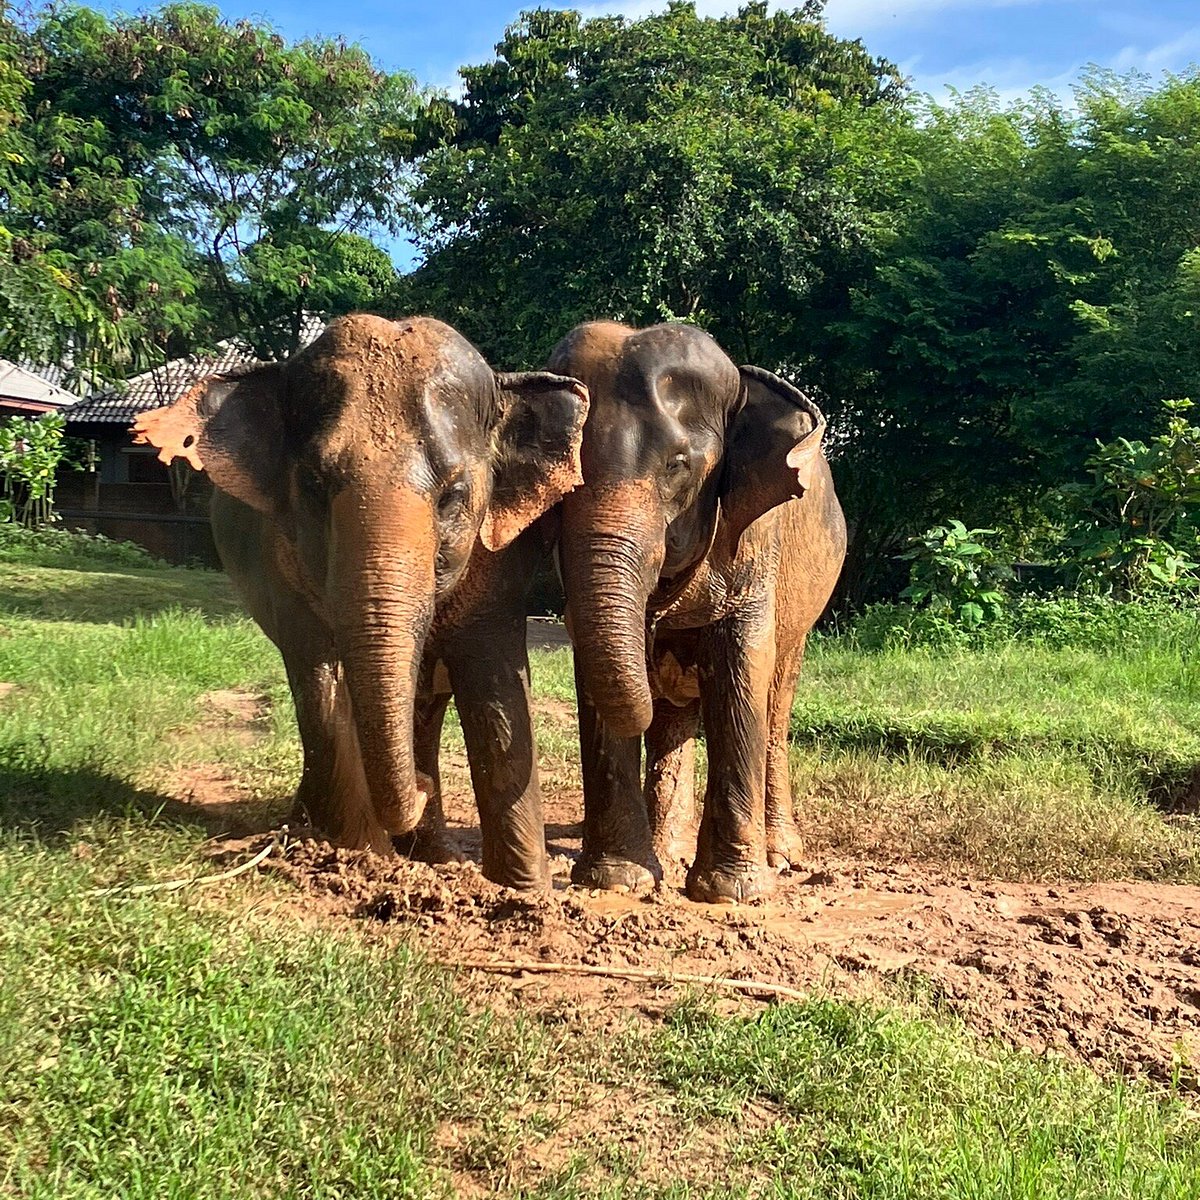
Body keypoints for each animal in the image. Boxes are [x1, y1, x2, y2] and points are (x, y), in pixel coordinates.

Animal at [132, 314, 589, 890]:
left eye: (453, 495)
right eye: (313, 484)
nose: (422, 788)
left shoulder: (500, 559)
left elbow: (494, 682)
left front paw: (524, 892)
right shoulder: (281, 561)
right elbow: (318, 677)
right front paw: (360, 859)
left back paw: (431, 850)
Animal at [549, 321, 846, 904]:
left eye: (678, 466)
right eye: (565, 471)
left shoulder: (755, 537)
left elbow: (739, 675)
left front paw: (732, 893)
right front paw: (619, 881)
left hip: (803, 616)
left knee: (776, 704)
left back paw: (780, 855)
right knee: (673, 719)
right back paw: (667, 852)